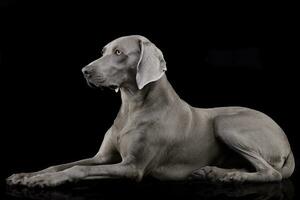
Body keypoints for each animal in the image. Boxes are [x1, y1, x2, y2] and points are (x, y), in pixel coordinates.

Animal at [5, 35, 294, 187]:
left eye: (119, 52)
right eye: (104, 51)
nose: (84, 71)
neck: (131, 109)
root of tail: (287, 143)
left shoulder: (133, 167)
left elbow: (77, 170)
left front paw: (41, 181)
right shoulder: (102, 157)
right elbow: (62, 164)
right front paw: (27, 175)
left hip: (226, 123)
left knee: (271, 173)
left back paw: (229, 175)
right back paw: (213, 172)